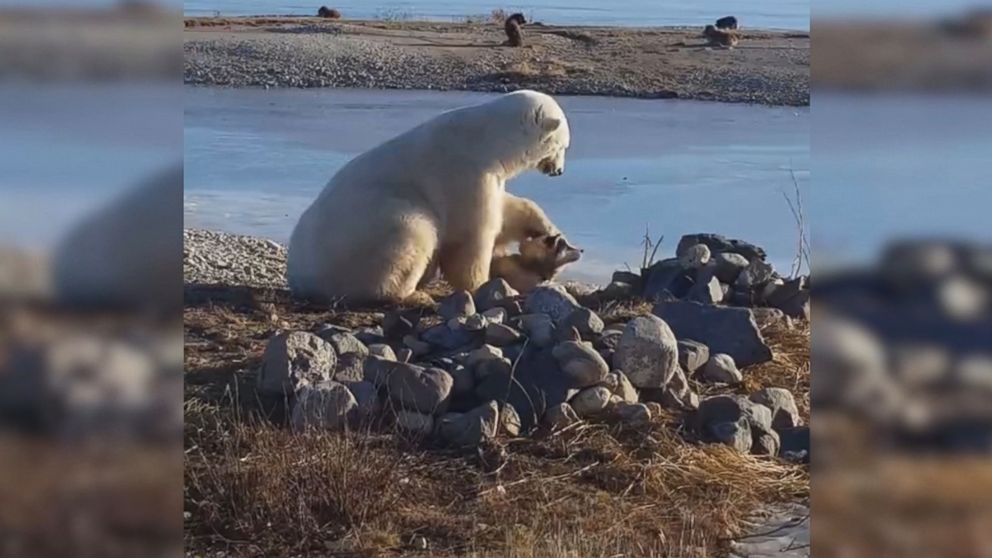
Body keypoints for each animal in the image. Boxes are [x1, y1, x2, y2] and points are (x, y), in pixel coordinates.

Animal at [286, 89, 568, 304]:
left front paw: (547, 229)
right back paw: (412, 295)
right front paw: (481, 285)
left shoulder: (490, 175)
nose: (559, 171)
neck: (486, 139)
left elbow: (505, 209)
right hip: (365, 233)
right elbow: (470, 235)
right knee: (413, 232)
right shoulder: (462, 172)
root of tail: (300, 276)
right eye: (563, 146)